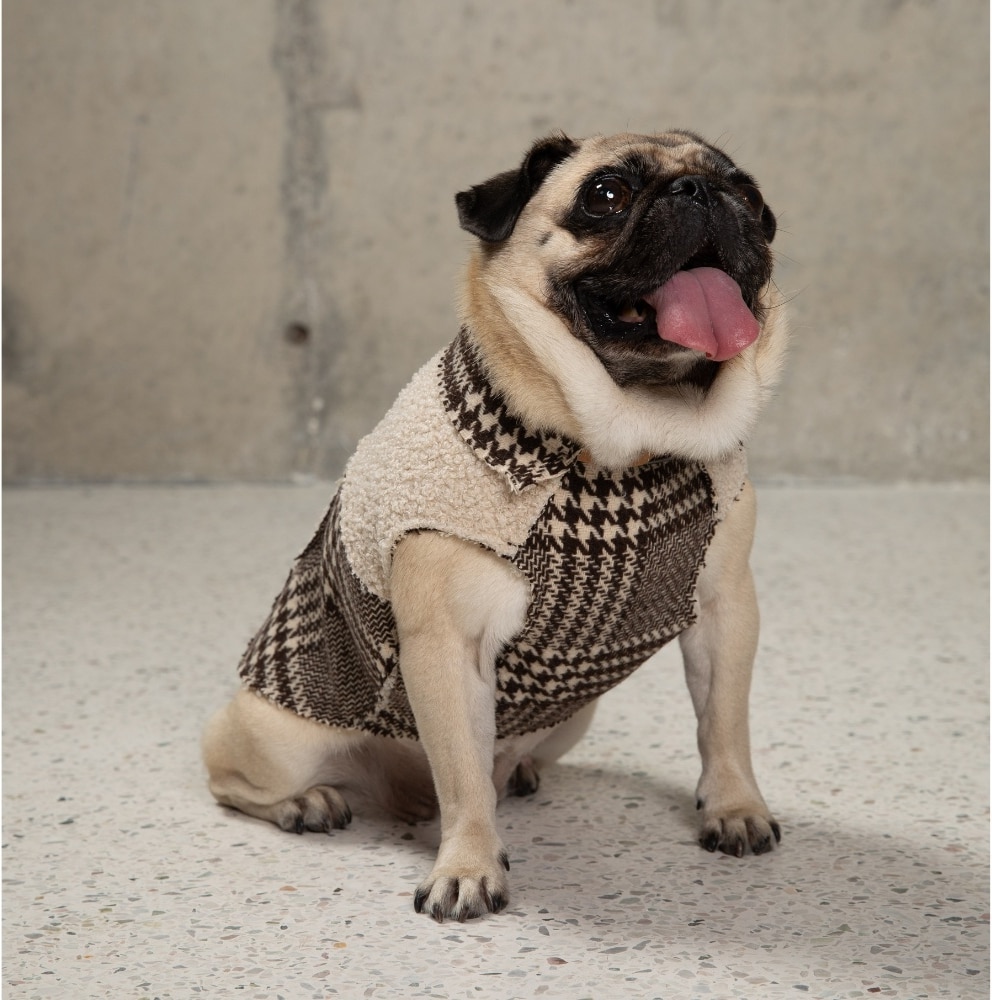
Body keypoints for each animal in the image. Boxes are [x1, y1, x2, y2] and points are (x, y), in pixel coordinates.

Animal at [203, 130, 788, 922]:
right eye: (606, 195)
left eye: (749, 195)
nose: (699, 192)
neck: (624, 444)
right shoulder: (448, 647)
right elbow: (462, 778)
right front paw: (468, 867)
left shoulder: (726, 612)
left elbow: (723, 722)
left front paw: (733, 807)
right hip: (279, 735)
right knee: (236, 781)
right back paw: (310, 803)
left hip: (574, 717)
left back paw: (521, 772)